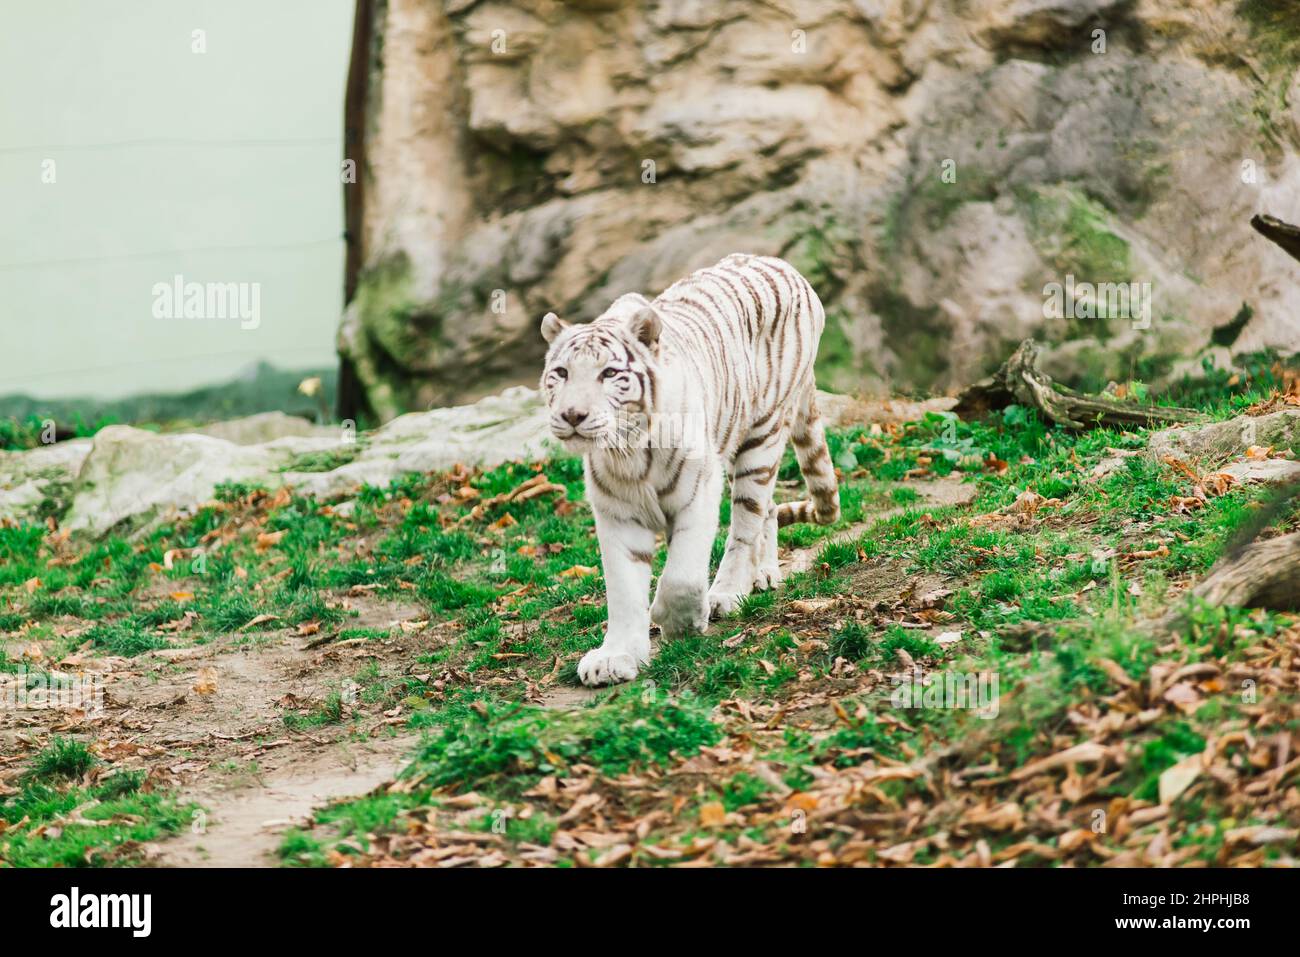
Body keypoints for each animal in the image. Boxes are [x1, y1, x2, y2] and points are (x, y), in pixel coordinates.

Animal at [538, 254, 842, 686]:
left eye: (609, 374)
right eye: (561, 373)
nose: (572, 415)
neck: (627, 450)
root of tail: (784, 265)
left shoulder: (698, 491)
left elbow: (681, 575)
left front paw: (679, 622)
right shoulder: (616, 513)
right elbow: (623, 590)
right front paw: (615, 658)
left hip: (762, 437)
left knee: (747, 522)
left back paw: (727, 593)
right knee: (767, 508)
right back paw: (764, 574)